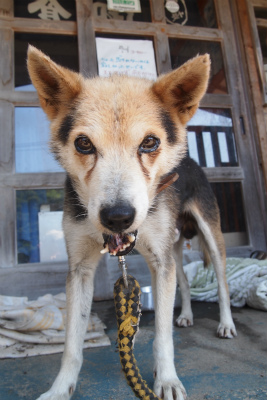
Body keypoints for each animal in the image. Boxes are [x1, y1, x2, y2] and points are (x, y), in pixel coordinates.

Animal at [26, 47, 237, 400]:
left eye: (149, 142)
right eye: (84, 143)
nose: (118, 217)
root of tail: (191, 159)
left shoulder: (159, 260)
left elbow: (162, 336)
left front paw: (167, 380)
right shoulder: (80, 269)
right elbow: (72, 343)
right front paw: (60, 388)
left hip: (210, 235)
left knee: (221, 282)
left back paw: (226, 323)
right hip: (173, 248)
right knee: (183, 281)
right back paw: (186, 315)